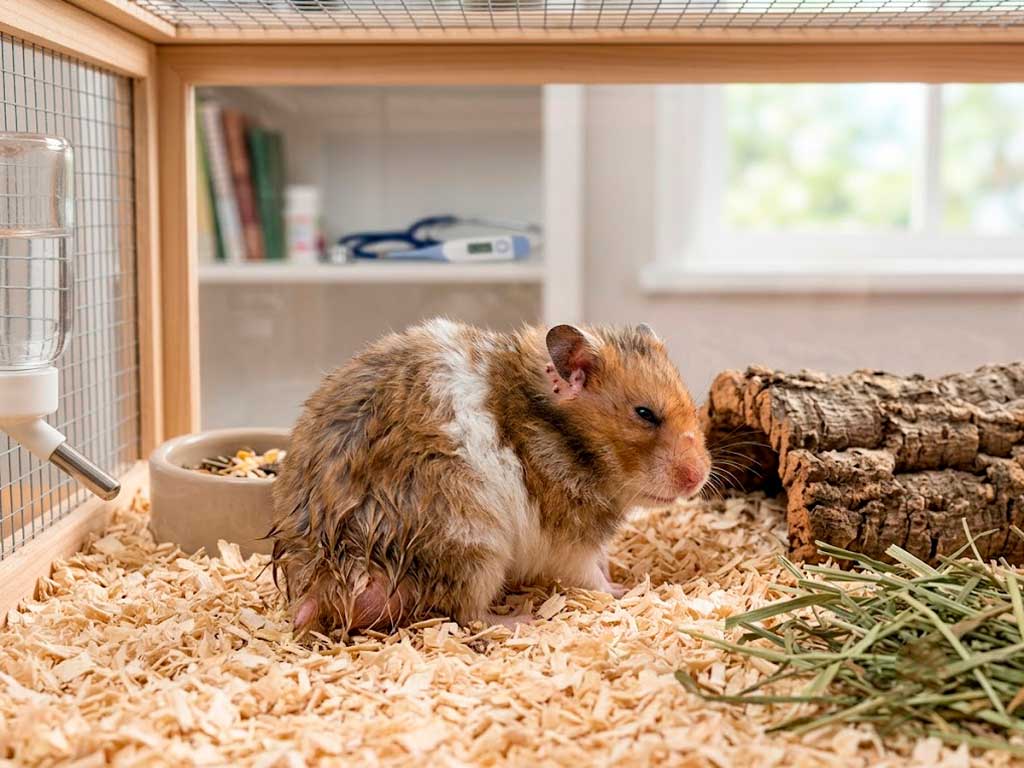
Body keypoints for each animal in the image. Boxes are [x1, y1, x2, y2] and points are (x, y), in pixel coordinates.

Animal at [269, 319, 711, 637]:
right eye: (645, 414)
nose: (699, 477)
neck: (567, 437)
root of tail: (330, 576)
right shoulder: (567, 541)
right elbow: (591, 576)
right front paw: (624, 590)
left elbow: (603, 562)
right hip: (475, 547)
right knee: (468, 613)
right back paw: (519, 620)